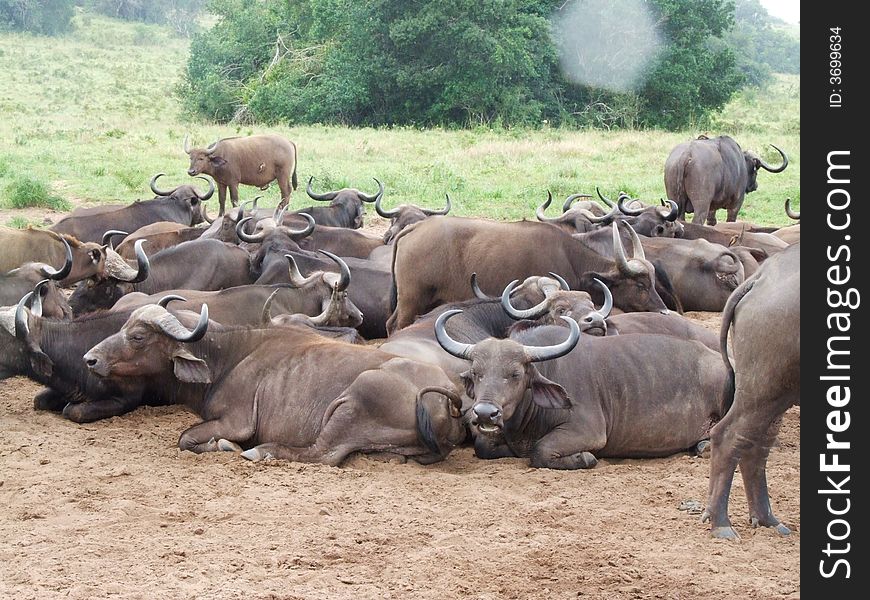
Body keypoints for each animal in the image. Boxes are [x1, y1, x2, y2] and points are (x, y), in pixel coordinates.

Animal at [83, 302, 470, 466]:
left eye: (137, 336)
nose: (90, 359)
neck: (227, 358)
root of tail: (447, 397)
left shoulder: (235, 422)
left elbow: (186, 439)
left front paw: (225, 447)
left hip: (353, 401)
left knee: (323, 454)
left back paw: (261, 452)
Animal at [704, 243, 800, 540]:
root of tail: (762, 278)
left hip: (780, 393)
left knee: (756, 446)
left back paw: (766, 518)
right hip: (764, 389)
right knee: (728, 436)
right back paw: (721, 523)